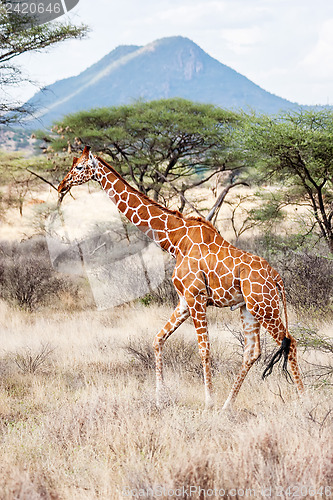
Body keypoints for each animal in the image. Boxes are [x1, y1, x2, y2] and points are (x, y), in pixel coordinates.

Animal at [57, 146, 304, 410]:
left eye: (79, 167)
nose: (61, 185)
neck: (175, 242)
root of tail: (277, 277)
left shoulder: (196, 297)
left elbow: (204, 350)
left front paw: (208, 402)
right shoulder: (184, 301)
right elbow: (157, 340)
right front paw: (159, 399)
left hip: (265, 307)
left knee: (290, 342)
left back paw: (304, 401)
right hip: (249, 308)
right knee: (252, 352)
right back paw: (228, 405)